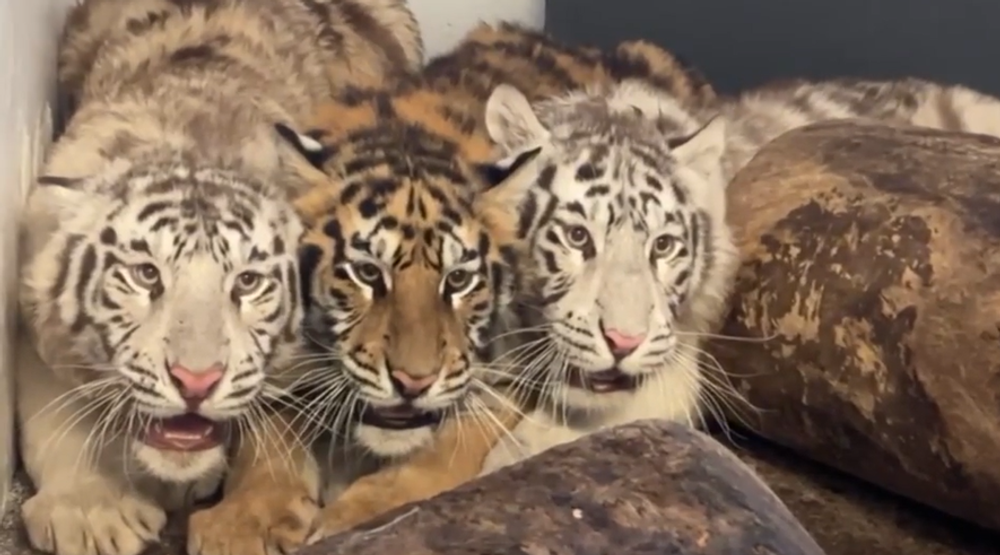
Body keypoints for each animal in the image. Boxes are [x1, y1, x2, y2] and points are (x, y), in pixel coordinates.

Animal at [16, 1, 422, 555]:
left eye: (248, 283)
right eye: (146, 275)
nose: (196, 381)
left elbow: (273, 422)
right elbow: (50, 417)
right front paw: (90, 512)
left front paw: (250, 520)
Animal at [192, 21, 718, 548]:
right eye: (368, 273)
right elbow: (266, 436)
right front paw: (240, 523)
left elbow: (449, 442)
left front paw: (359, 514)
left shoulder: (515, 366)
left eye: (459, 279)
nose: (413, 383)